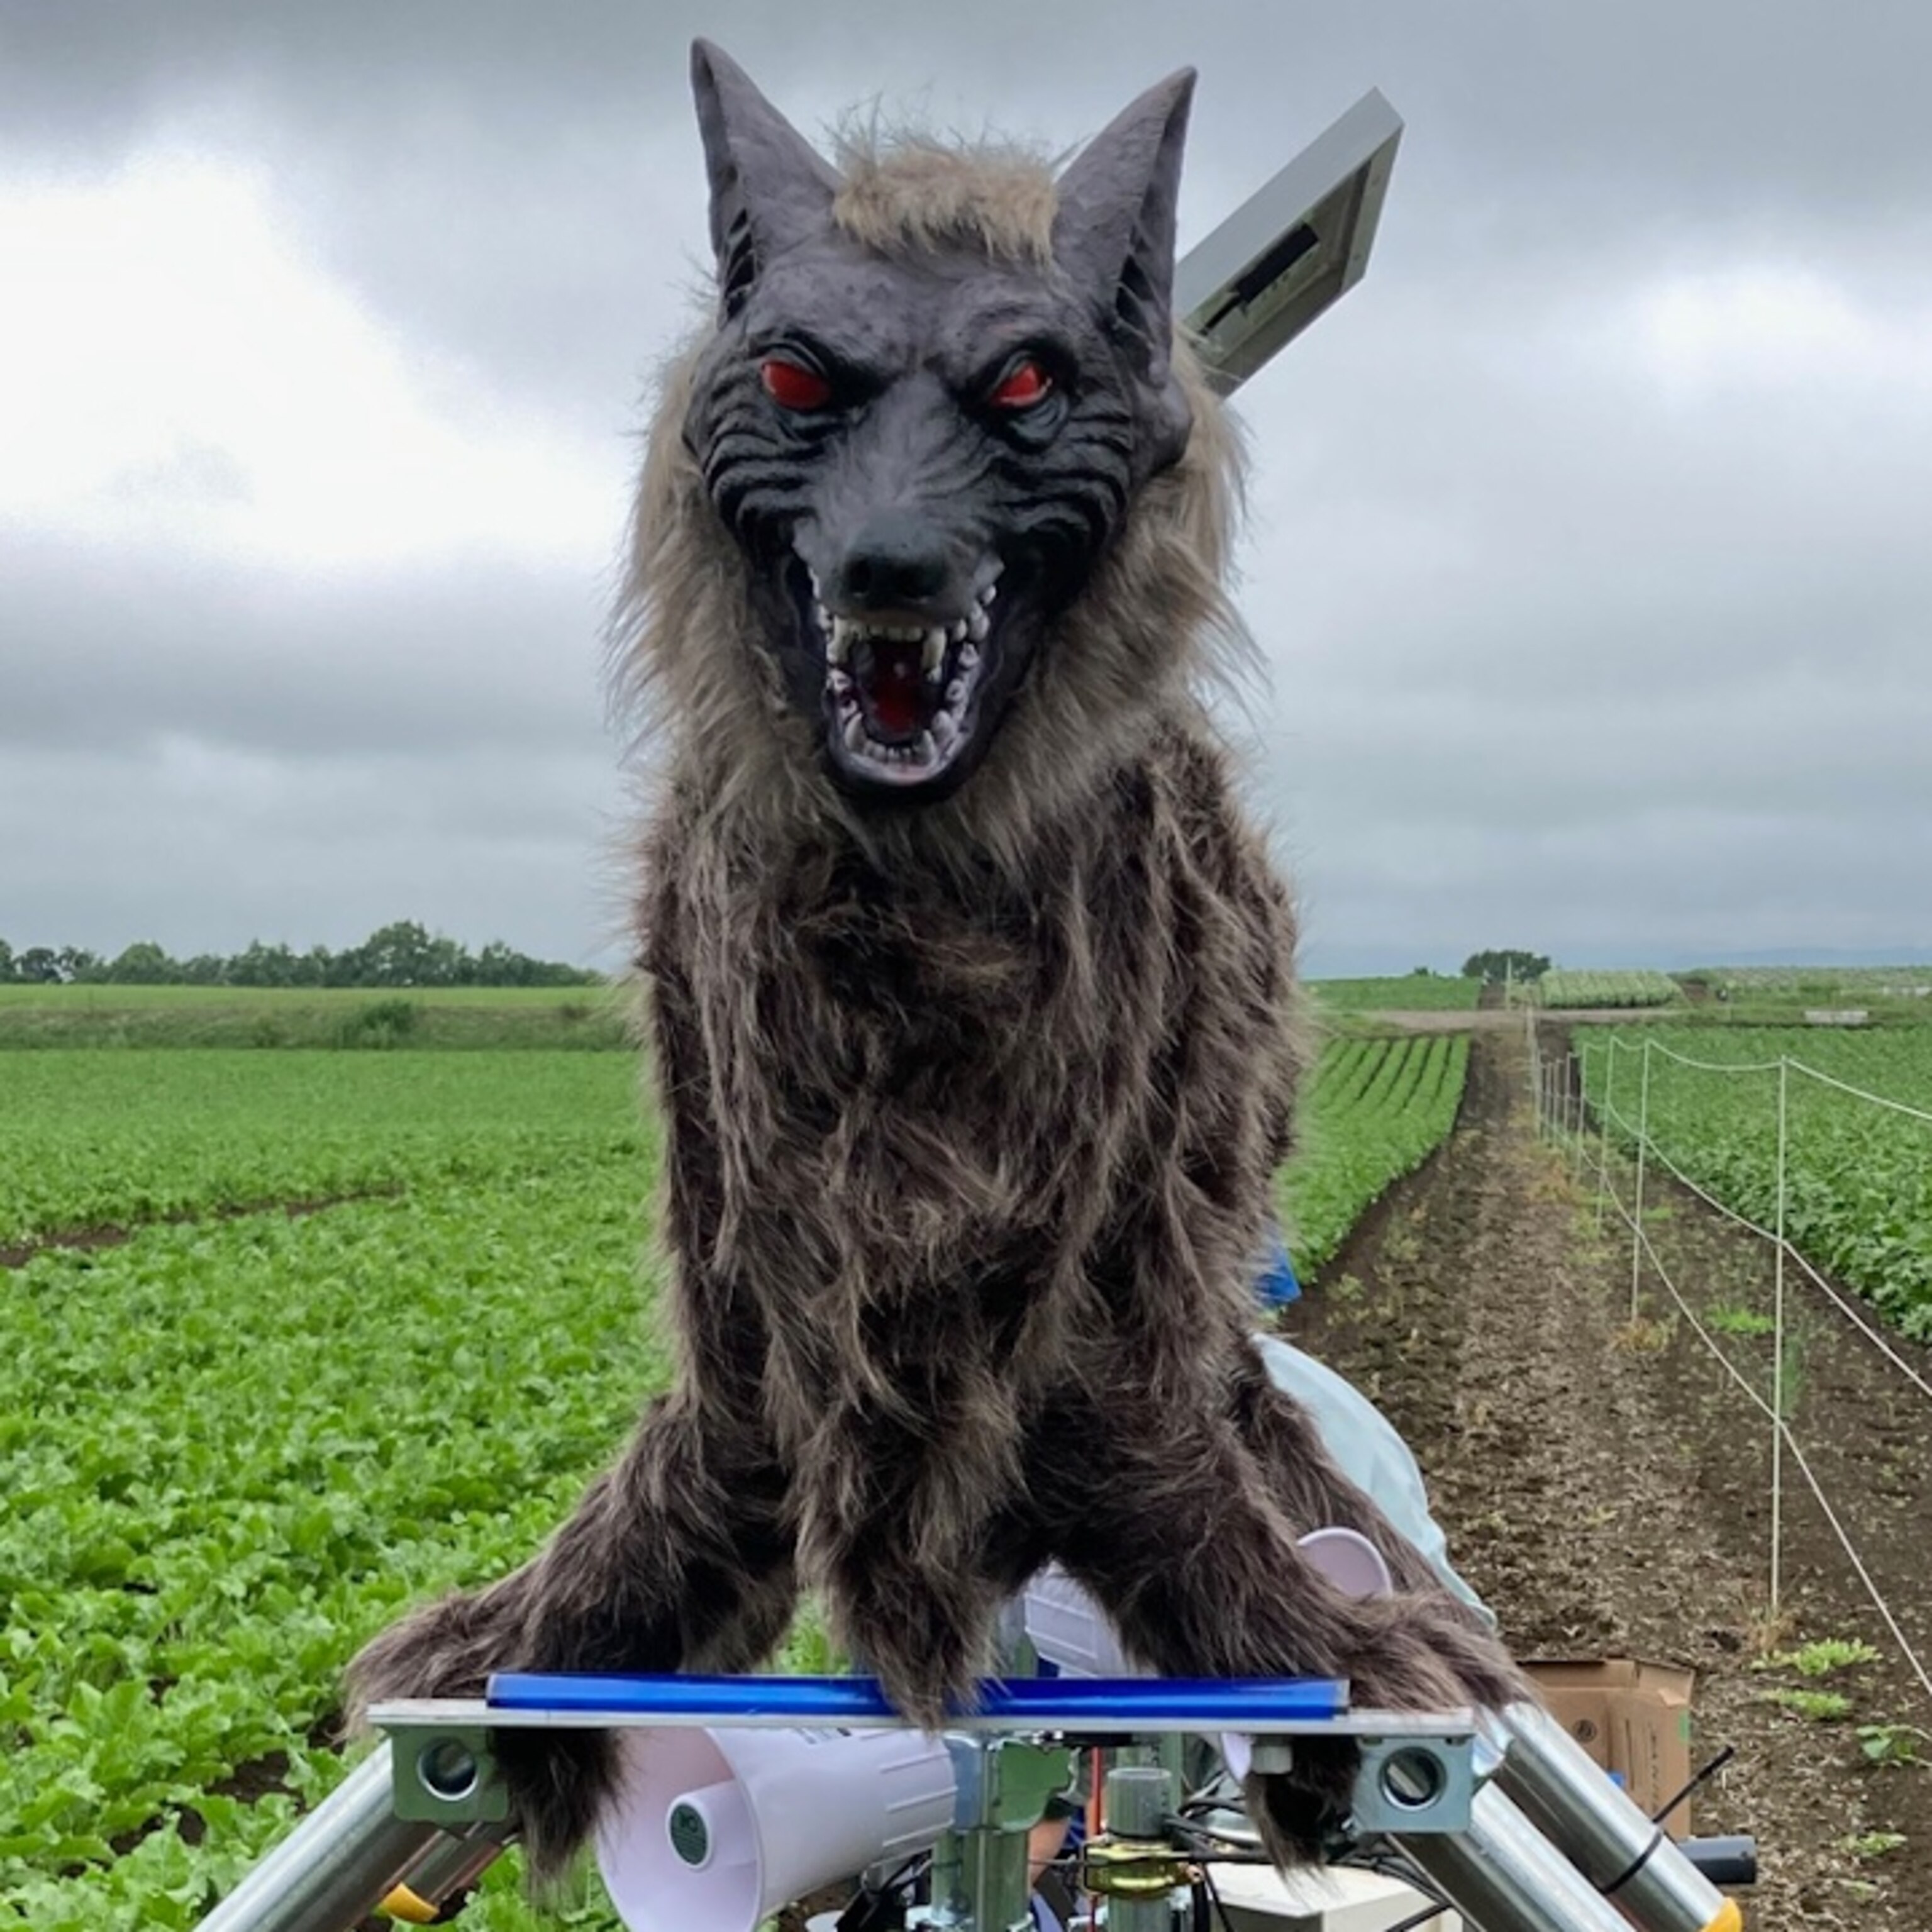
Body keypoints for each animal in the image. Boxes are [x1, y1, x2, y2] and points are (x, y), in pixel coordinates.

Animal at [349, 41, 1528, 1883]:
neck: (908, 892)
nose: (890, 560)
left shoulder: (1113, 1261)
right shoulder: (739, 1240)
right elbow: (699, 1470)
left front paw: (1318, 1635)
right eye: (793, 377)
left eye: (1025, 382)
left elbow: (1162, 1458)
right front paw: (534, 1629)